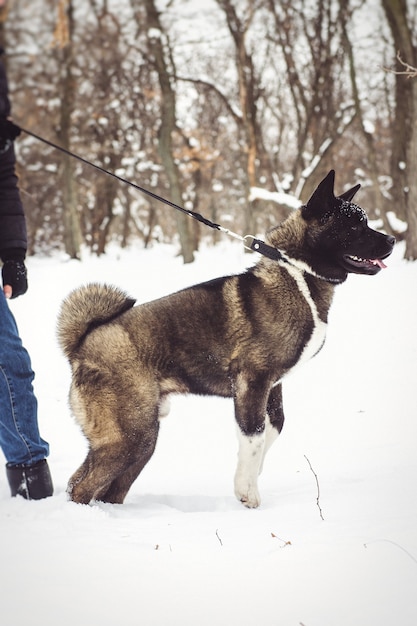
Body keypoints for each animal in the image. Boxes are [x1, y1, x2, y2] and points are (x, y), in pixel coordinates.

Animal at [56, 171, 394, 508]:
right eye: (354, 226)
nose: (392, 240)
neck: (298, 275)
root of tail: (82, 344)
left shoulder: (272, 386)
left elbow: (271, 429)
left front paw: (252, 475)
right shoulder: (252, 380)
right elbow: (254, 434)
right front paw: (247, 492)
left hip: (139, 439)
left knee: (96, 486)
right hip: (132, 436)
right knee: (83, 488)